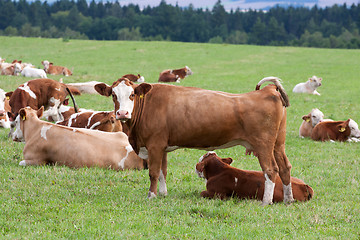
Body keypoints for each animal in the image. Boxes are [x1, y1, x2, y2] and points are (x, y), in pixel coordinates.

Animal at [93, 77, 296, 206]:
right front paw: (163, 194)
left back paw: (266, 201)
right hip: (278, 144)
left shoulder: (154, 145)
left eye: (132, 94)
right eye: (113, 95)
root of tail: (268, 90)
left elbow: (153, 172)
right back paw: (288, 199)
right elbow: (162, 172)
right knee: (284, 167)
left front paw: (151, 196)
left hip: (263, 145)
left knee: (271, 170)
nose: (122, 113)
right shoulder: (162, 146)